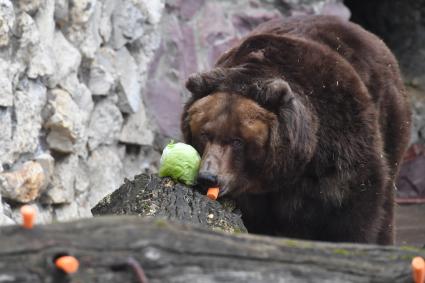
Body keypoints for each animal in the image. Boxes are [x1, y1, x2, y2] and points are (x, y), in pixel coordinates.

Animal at [180, 15, 410, 245]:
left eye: (238, 140)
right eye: (204, 134)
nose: (208, 177)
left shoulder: (340, 138)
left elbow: (355, 210)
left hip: (390, 118)